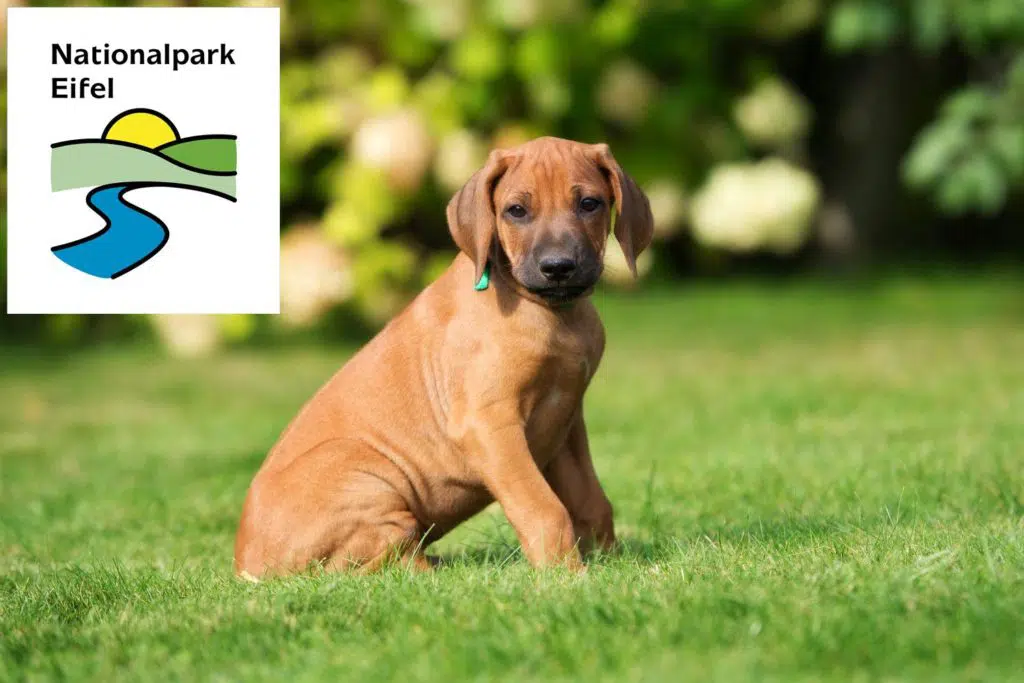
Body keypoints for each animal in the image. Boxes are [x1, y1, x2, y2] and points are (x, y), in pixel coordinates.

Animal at [235, 136, 651, 573]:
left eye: (589, 203)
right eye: (516, 211)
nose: (558, 268)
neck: (554, 314)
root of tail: (246, 565)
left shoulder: (566, 422)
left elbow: (591, 502)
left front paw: (613, 564)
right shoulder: (489, 424)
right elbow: (543, 508)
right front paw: (567, 576)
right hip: (366, 472)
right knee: (366, 565)